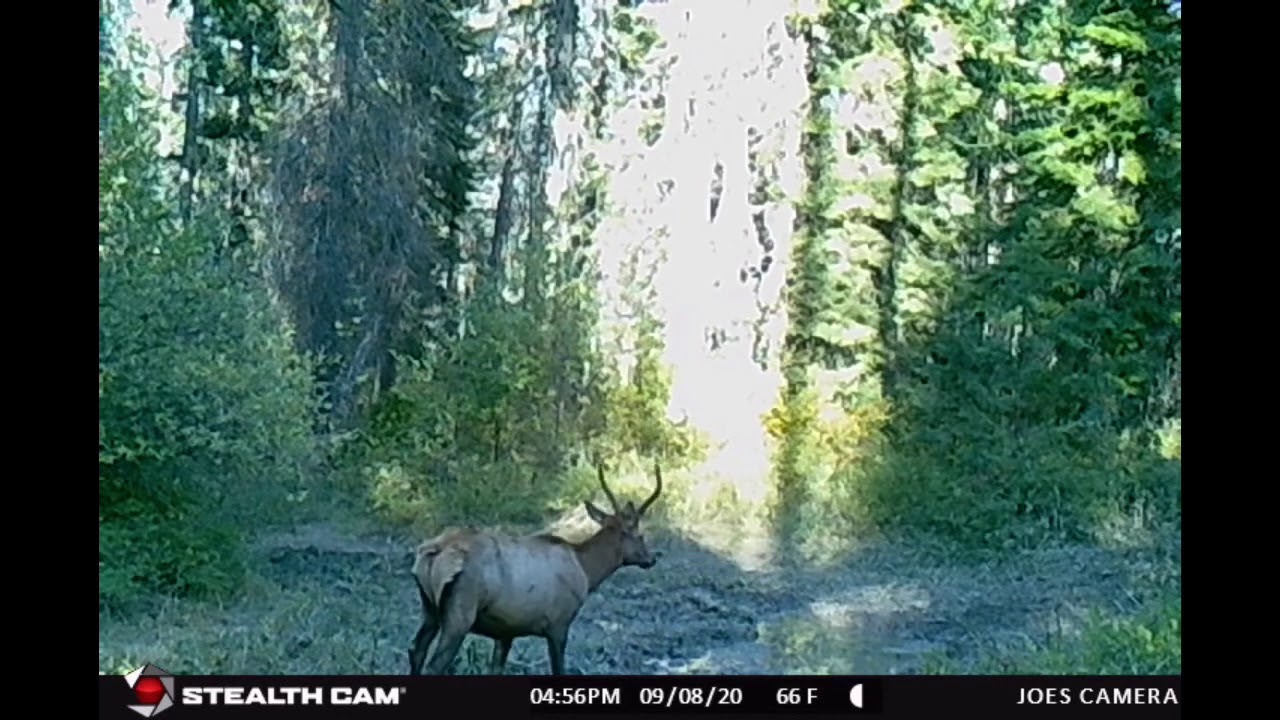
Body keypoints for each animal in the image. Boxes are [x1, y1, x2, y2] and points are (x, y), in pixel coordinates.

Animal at [406, 460, 663, 675]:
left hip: (429, 609)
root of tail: (434, 552)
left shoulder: (506, 630)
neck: (587, 571)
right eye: (639, 535)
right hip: (460, 613)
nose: (650, 559)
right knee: (435, 665)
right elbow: (559, 670)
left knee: (415, 650)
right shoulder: (559, 623)